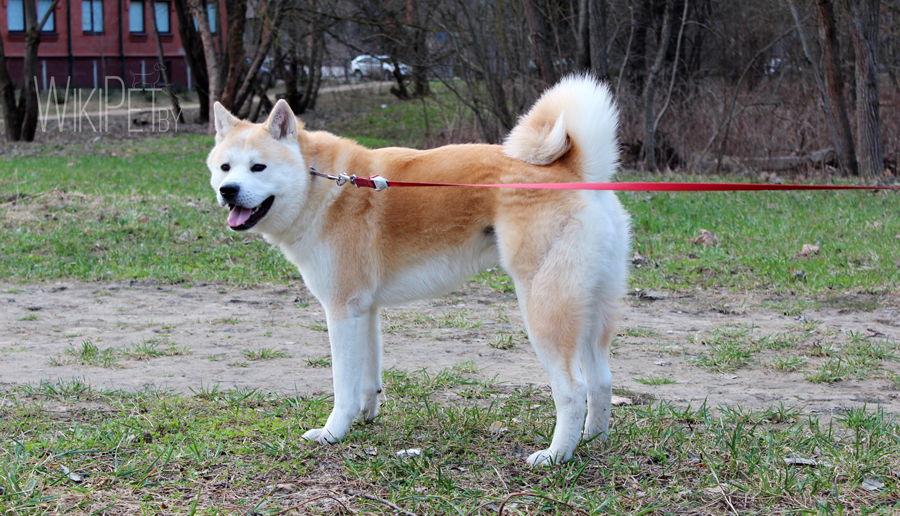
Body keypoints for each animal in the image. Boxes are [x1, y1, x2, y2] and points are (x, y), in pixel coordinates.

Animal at [209, 76, 632, 468]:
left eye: (258, 167)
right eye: (226, 167)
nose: (228, 190)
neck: (319, 183)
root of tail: (576, 170)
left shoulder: (342, 310)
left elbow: (343, 387)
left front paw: (332, 433)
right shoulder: (364, 311)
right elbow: (368, 379)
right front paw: (365, 417)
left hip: (544, 311)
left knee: (573, 390)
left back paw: (556, 455)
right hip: (591, 312)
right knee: (602, 382)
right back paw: (592, 441)